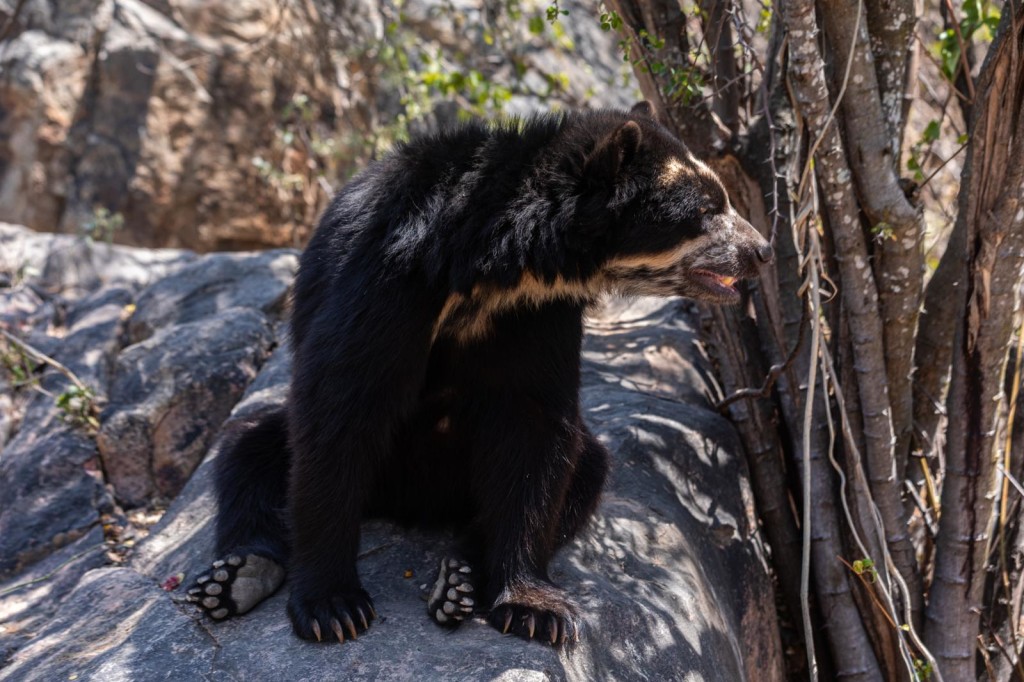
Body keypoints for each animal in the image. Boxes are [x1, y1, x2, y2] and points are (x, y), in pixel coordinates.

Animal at [188, 100, 770, 643]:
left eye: (721, 199)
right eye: (706, 209)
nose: (762, 250)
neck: (490, 269)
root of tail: (410, 505)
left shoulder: (537, 313)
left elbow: (533, 430)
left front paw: (534, 610)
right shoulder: (380, 281)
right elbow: (340, 408)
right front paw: (334, 609)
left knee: (585, 468)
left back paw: (459, 577)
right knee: (248, 453)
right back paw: (238, 576)